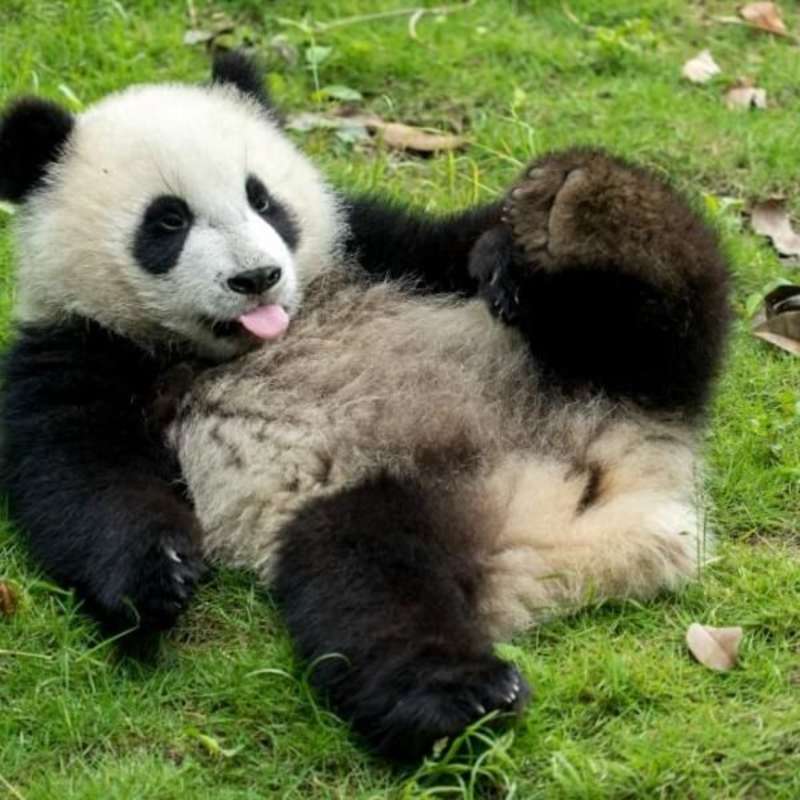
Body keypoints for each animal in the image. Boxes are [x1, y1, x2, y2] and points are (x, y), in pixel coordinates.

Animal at [0, 53, 730, 760]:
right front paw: (161, 574)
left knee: (669, 310)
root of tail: (602, 514)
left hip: (573, 367)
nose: (257, 278)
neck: (238, 346)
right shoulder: (74, 349)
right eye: (169, 220)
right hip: (386, 494)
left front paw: (513, 240)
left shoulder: (372, 245)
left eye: (262, 199)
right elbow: (82, 476)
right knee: (367, 585)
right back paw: (461, 696)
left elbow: (452, 241)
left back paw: (599, 208)